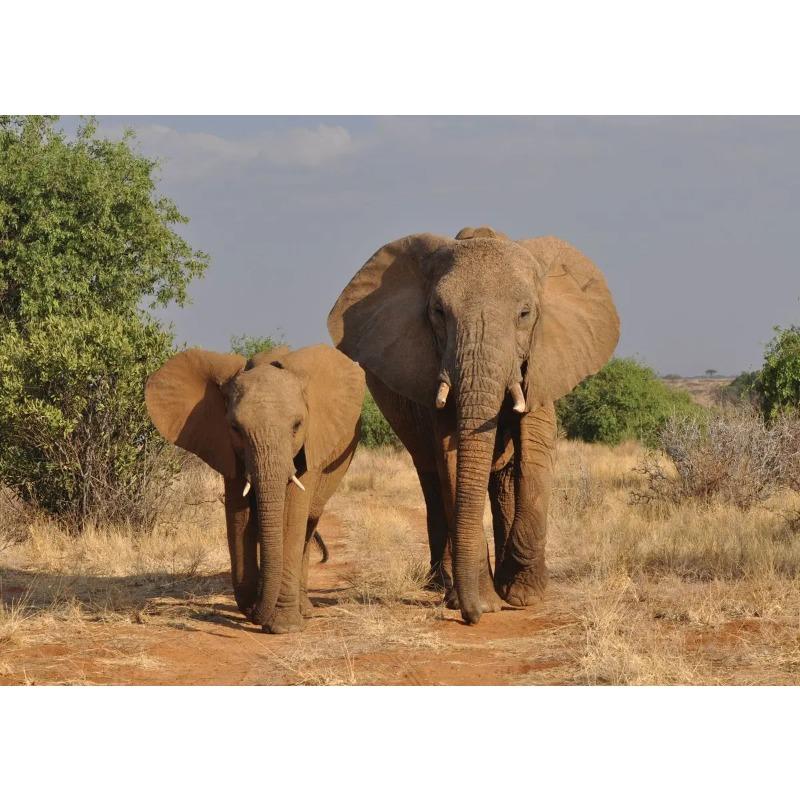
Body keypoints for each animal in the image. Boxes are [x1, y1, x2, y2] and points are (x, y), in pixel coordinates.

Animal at [145, 343, 365, 634]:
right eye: (235, 428)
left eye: (297, 426)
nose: (253, 613)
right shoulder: (226, 447)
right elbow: (239, 517)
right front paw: (257, 609)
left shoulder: (311, 444)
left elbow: (291, 516)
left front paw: (283, 627)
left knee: (308, 523)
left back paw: (304, 610)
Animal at [328, 226, 619, 625]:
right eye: (437, 312)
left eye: (525, 313)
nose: (472, 616)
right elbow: (452, 459)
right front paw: (483, 600)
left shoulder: (543, 363)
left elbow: (536, 454)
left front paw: (523, 596)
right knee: (432, 478)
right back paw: (443, 584)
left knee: (503, 479)